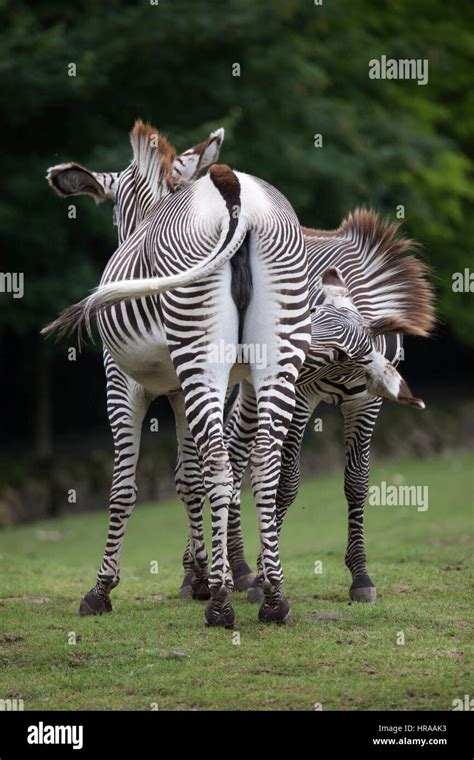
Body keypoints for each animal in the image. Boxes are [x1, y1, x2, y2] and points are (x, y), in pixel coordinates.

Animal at [43, 120, 312, 628]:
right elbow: (189, 479)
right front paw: (198, 575)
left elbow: (124, 488)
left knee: (222, 463)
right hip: (274, 352)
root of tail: (231, 188)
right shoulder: (182, 389)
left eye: (114, 215)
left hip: (198, 349)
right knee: (261, 460)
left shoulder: (122, 382)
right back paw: (273, 598)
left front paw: (102, 589)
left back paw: (223, 606)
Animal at [220, 211, 436, 608]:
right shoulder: (301, 397)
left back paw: (237, 567)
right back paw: (202, 576)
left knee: (234, 447)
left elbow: (357, 482)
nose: (276, 346)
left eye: (340, 354)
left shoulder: (368, 403)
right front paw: (265, 578)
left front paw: (360, 575)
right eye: (313, 310)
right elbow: (286, 484)